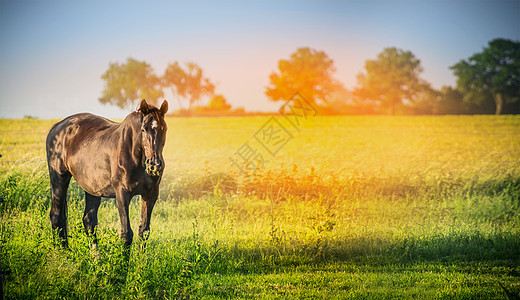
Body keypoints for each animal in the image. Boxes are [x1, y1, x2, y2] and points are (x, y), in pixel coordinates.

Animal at [46, 99, 169, 247]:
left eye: (164, 129)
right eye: (143, 129)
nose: (154, 164)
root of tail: (57, 127)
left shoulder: (150, 195)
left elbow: (144, 232)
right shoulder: (122, 193)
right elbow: (126, 234)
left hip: (92, 187)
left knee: (89, 221)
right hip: (59, 178)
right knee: (56, 216)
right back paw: (62, 252)